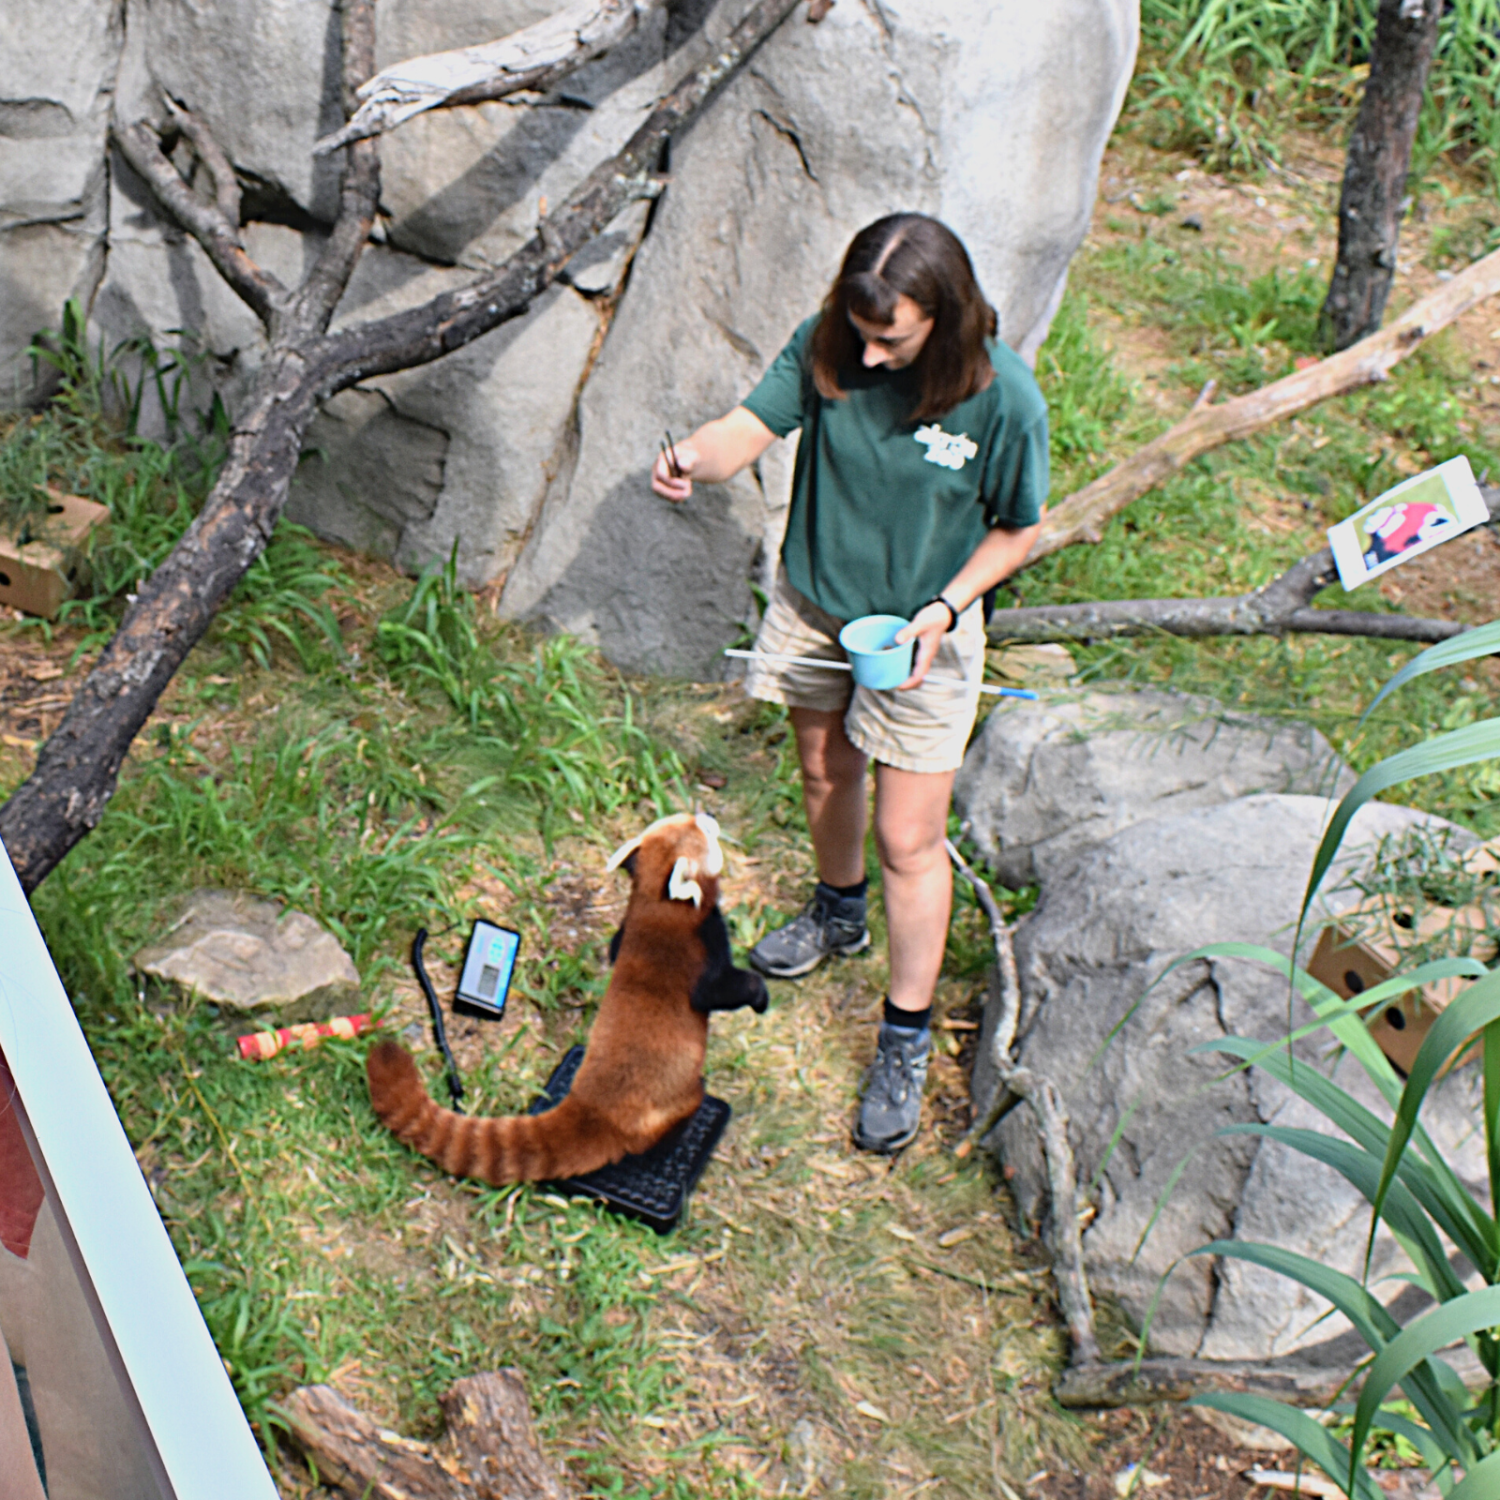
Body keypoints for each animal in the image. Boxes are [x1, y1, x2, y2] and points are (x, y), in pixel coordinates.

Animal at [360, 816, 762, 1188]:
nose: (709, 816)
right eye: (701, 829)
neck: (659, 907)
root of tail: (593, 1107)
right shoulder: (700, 955)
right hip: (674, 1100)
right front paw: (759, 995)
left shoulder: (627, 933)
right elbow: (720, 991)